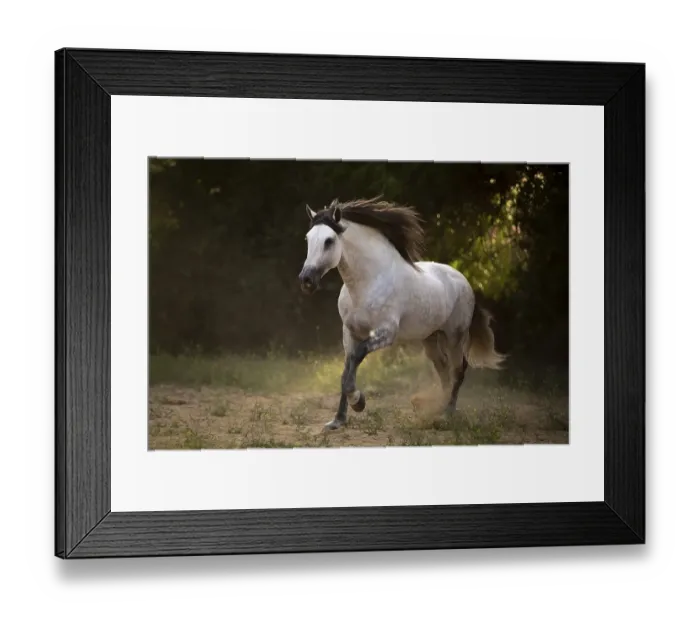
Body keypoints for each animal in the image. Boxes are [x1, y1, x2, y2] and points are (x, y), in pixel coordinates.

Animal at [298, 197, 506, 432]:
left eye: (329, 241)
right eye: (308, 238)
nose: (306, 280)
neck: (369, 282)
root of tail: (463, 280)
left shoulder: (386, 333)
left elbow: (357, 357)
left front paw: (358, 401)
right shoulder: (349, 332)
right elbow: (346, 369)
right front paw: (338, 420)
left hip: (455, 335)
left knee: (458, 369)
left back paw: (447, 414)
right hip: (430, 337)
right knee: (443, 368)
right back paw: (436, 408)